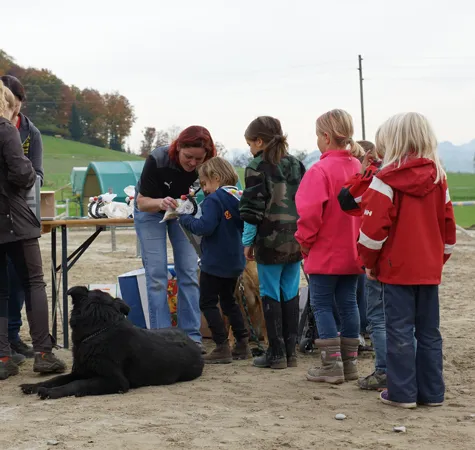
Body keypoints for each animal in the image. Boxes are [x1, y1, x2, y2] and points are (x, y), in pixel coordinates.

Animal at [20, 286, 205, 400]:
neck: (98, 331)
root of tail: (192, 341)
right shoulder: (80, 371)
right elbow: (57, 378)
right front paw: (35, 386)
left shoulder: (115, 381)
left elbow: (77, 384)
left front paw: (51, 392)